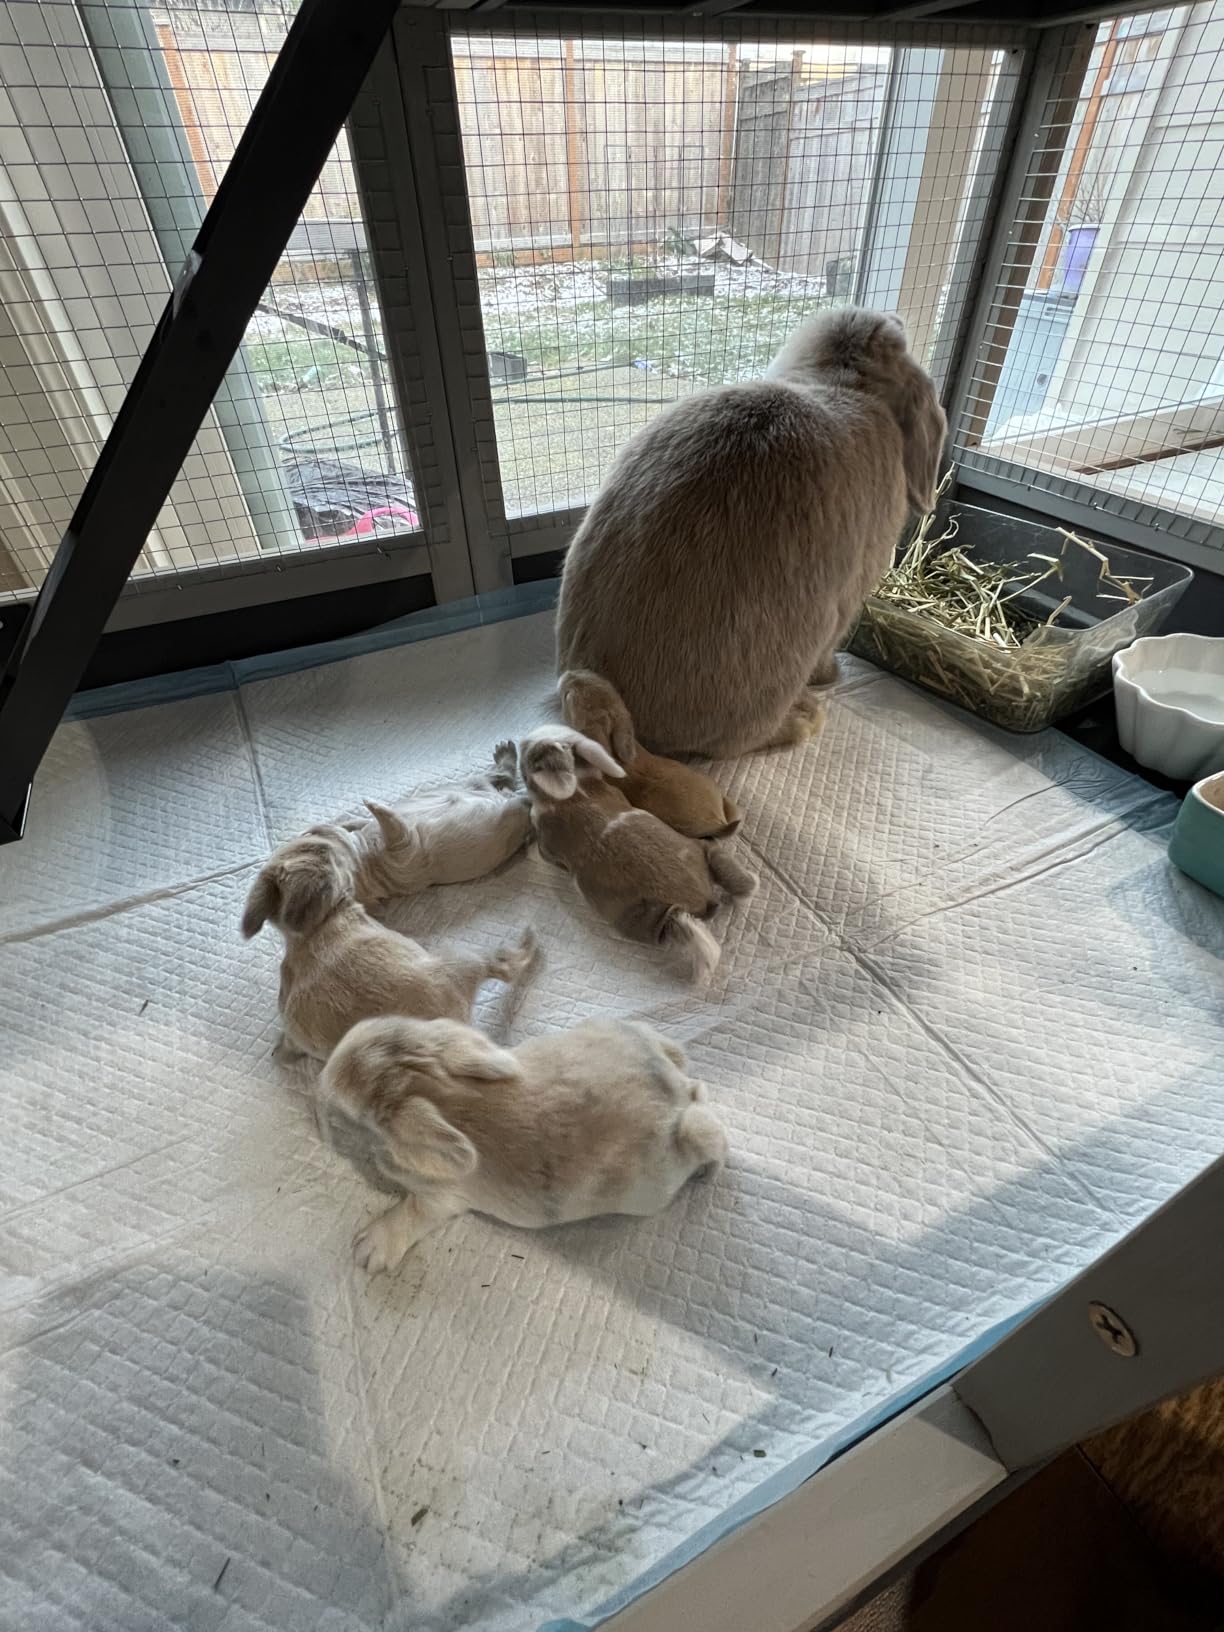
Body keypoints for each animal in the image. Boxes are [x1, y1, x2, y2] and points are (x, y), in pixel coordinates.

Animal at [241, 821, 539, 1059]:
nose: (328, 827)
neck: (323, 921)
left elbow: (291, 1040)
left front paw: (281, 1049)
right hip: (461, 957)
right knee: (505, 966)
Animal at [322, 1013, 728, 1274]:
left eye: (343, 1116)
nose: (320, 1113)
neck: (441, 1092)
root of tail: (673, 1090)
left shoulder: (441, 1198)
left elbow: (412, 1211)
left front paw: (370, 1248)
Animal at [347, 741, 531, 903]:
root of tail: (503, 796)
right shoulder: (401, 857)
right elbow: (394, 827)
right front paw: (372, 807)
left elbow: (361, 822)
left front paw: (354, 817)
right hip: (513, 807)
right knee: (515, 792)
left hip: (470, 784)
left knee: (494, 777)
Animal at [519, 725, 756, 982]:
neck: (576, 792)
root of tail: (703, 897)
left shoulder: (548, 847)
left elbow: (542, 854)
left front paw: (527, 850)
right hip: (705, 850)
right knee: (740, 883)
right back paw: (749, 887)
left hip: (646, 920)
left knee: (683, 926)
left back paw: (702, 969)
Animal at [556, 307, 946, 757]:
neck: (839, 377)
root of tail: (594, 678)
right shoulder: (853, 591)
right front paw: (830, 675)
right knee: (741, 740)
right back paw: (802, 717)